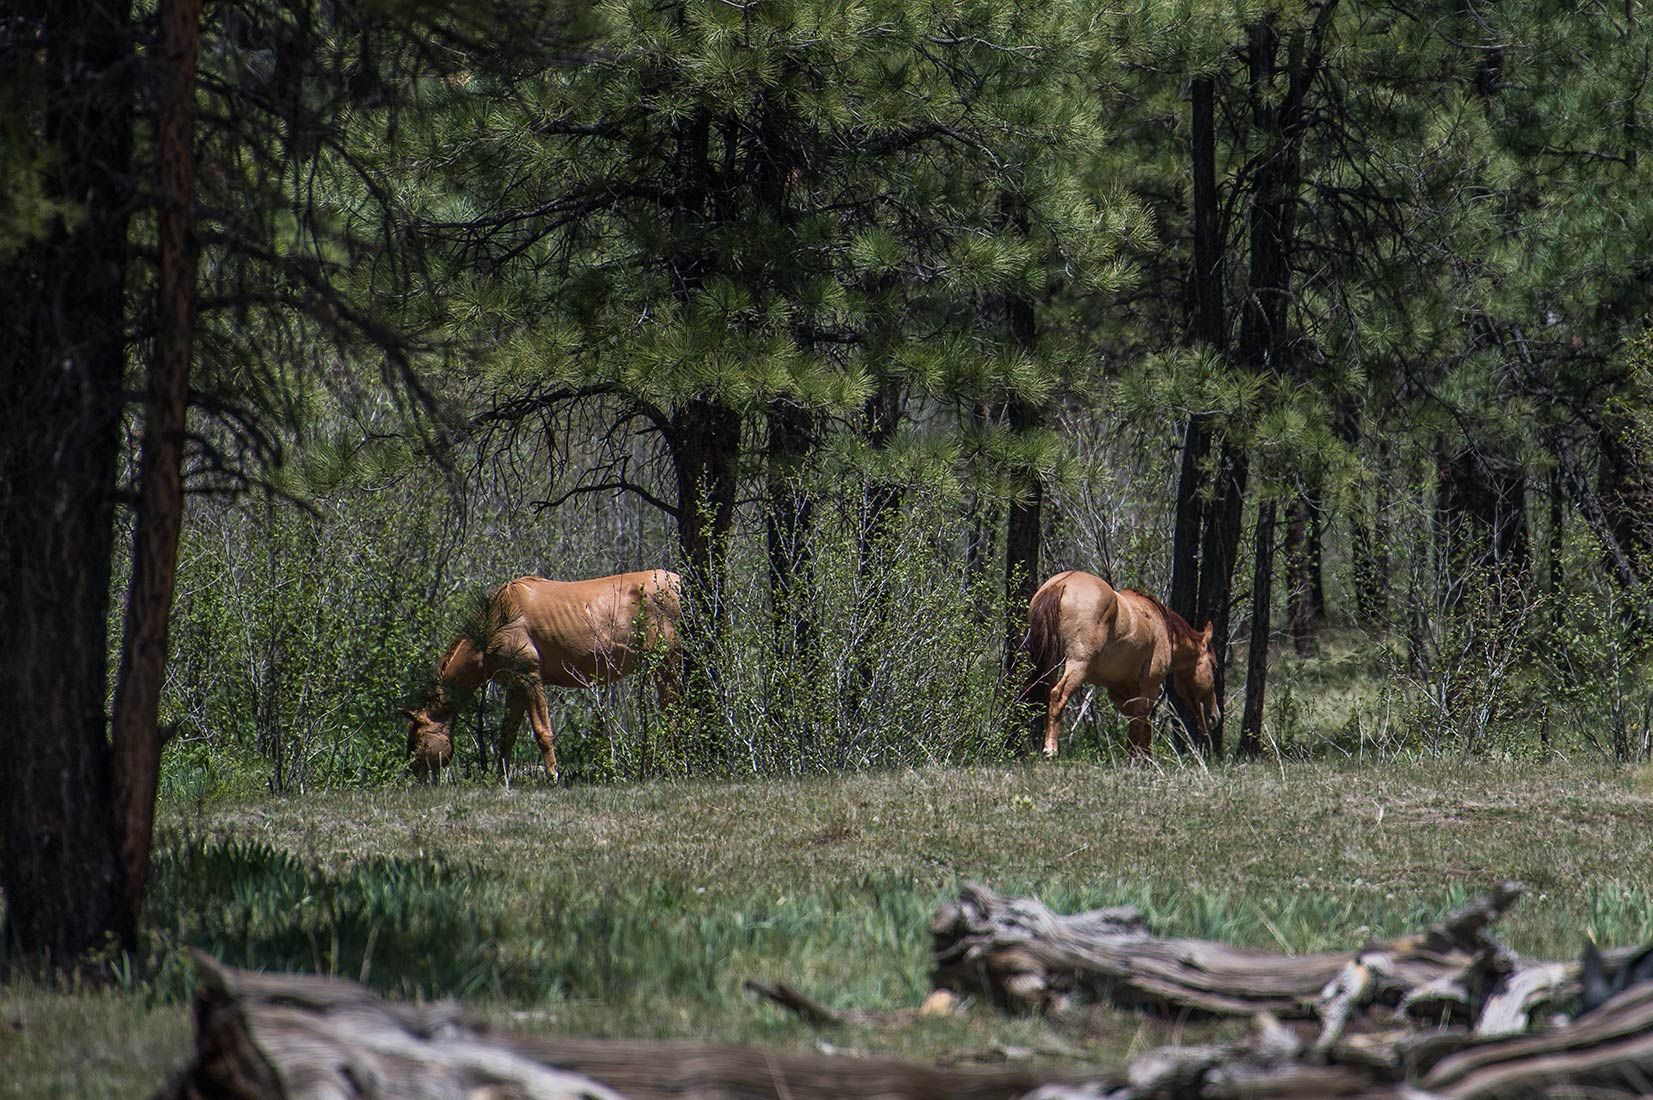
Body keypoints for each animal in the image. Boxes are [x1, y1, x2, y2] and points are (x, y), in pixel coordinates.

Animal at [403, 570, 681, 781]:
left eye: (416, 739)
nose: (413, 776)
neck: (498, 619)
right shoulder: (515, 686)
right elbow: (507, 732)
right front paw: (502, 777)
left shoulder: (530, 678)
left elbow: (542, 731)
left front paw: (552, 776)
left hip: (667, 664)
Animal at [1020, 570, 1219, 758]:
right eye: (1213, 664)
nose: (1214, 717)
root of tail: (1061, 584)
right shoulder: (1149, 687)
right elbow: (1140, 722)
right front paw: (1136, 759)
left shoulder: (1120, 690)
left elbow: (1139, 723)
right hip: (1078, 665)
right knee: (1058, 696)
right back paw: (1051, 750)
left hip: (1050, 664)